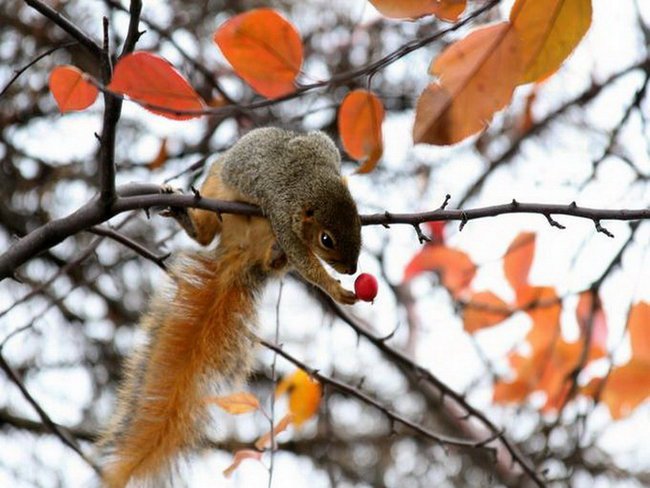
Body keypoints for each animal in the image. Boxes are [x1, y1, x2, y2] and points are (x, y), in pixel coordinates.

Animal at [97, 127, 360, 486]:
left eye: (360, 223)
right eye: (326, 240)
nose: (352, 269)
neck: (311, 180)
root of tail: (241, 251)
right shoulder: (281, 213)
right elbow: (304, 260)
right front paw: (334, 288)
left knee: (270, 259)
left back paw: (274, 254)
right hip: (213, 189)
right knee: (206, 234)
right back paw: (187, 216)